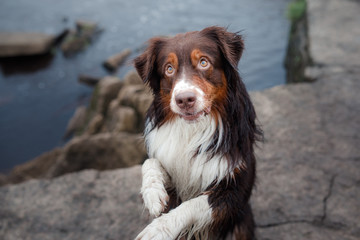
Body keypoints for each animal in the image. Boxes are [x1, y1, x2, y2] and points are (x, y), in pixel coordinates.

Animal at [134, 25, 260, 239]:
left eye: (203, 62)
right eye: (169, 69)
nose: (184, 100)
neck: (194, 129)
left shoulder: (236, 190)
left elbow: (193, 204)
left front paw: (158, 229)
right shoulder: (175, 172)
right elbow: (150, 162)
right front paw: (152, 193)